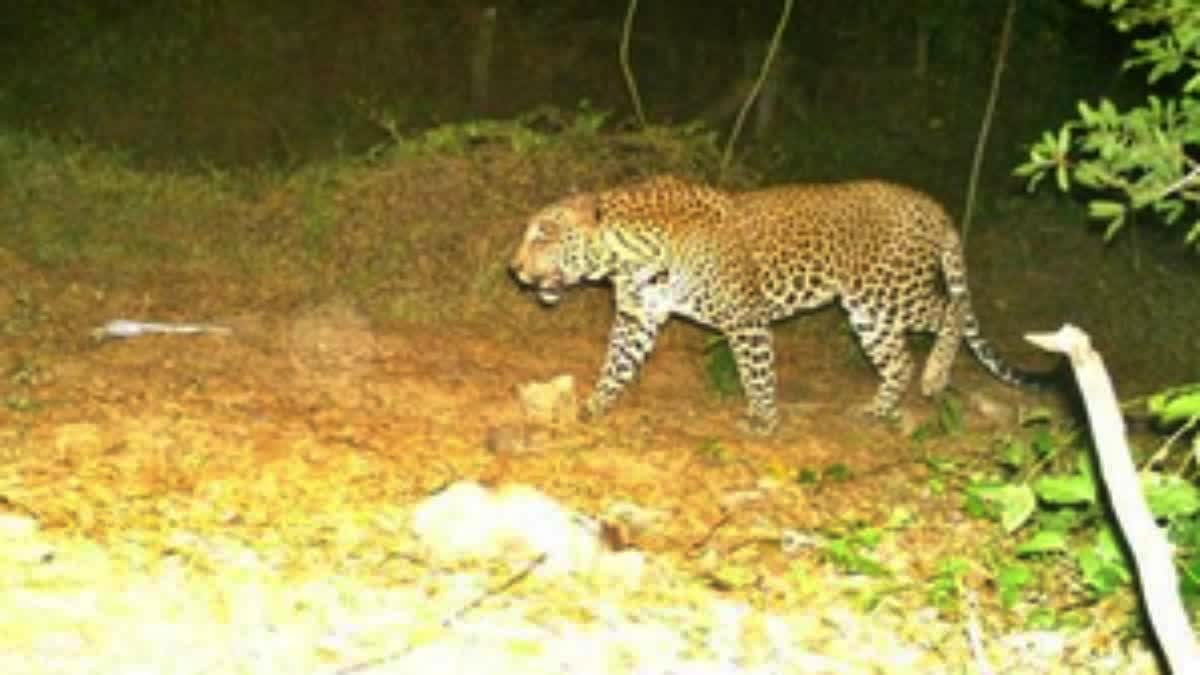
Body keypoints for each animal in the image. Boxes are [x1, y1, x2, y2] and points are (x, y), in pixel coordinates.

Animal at [511, 176, 1046, 432]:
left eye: (543, 234)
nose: (513, 269)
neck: (627, 255)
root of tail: (927, 203)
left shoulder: (744, 320)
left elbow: (756, 373)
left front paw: (764, 421)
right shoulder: (638, 317)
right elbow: (616, 365)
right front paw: (593, 406)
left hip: (892, 291)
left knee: (952, 311)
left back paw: (935, 377)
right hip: (867, 310)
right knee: (898, 358)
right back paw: (876, 410)